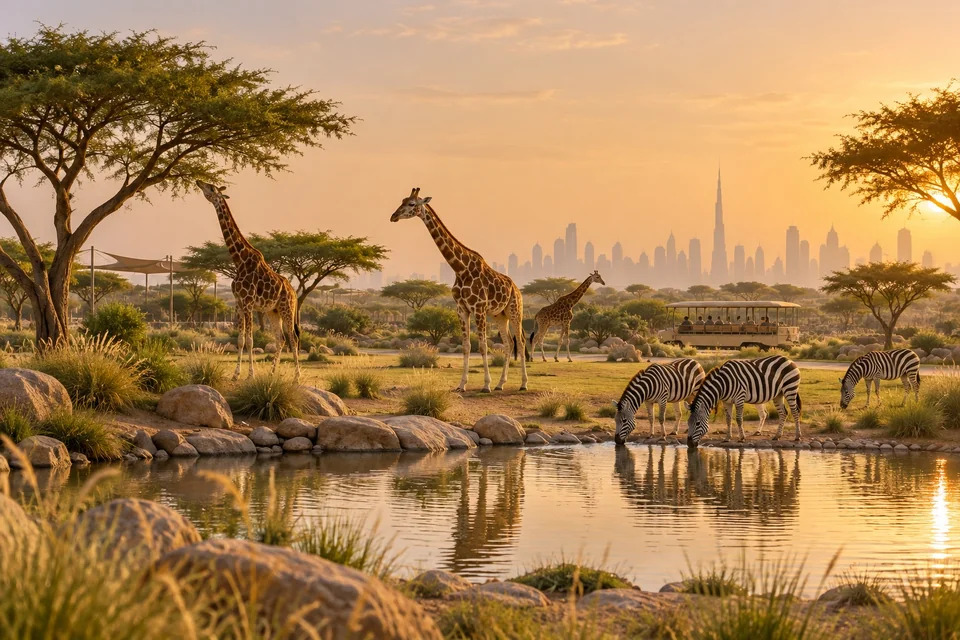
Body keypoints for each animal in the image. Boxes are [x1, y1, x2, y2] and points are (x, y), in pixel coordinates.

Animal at [196, 180, 301, 382]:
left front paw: (250, 375)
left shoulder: (249, 303)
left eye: (211, 188)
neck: (239, 260)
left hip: (287, 308)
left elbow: (251, 340)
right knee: (281, 338)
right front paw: (236, 374)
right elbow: (240, 340)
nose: (198, 181)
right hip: (272, 311)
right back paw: (271, 374)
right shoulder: (239, 303)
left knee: (293, 337)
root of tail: (294, 293)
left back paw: (296, 377)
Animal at [391, 188, 528, 393]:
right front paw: (462, 385)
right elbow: (466, 346)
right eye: (402, 200)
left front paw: (485, 385)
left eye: (412, 204)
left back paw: (523, 384)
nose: (393, 216)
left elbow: (482, 346)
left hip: (514, 311)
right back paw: (500, 384)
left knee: (520, 341)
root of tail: (517, 289)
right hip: (499, 315)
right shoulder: (461, 309)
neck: (460, 269)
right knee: (509, 343)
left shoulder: (478, 309)